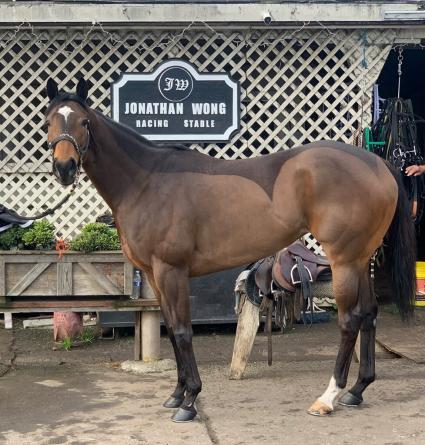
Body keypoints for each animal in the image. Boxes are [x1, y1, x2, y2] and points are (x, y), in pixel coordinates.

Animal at [43, 78, 414, 422]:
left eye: (84, 122)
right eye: (48, 121)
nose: (65, 168)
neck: (148, 181)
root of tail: (377, 164)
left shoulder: (171, 271)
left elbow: (182, 330)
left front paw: (190, 401)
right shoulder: (154, 275)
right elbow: (171, 328)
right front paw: (177, 394)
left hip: (344, 261)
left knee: (350, 320)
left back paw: (328, 397)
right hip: (360, 259)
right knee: (369, 313)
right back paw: (357, 390)